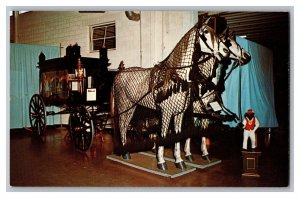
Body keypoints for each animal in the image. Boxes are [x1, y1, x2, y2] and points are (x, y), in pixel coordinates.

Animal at [111, 18, 233, 170]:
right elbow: (163, 135)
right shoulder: (166, 112)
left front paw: (180, 161)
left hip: (133, 107)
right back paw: (125, 152)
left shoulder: (179, 113)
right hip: (124, 106)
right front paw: (161, 162)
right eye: (205, 32)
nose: (226, 51)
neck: (178, 77)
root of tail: (119, 73)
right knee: (122, 125)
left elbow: (178, 135)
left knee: (125, 124)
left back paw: (127, 151)